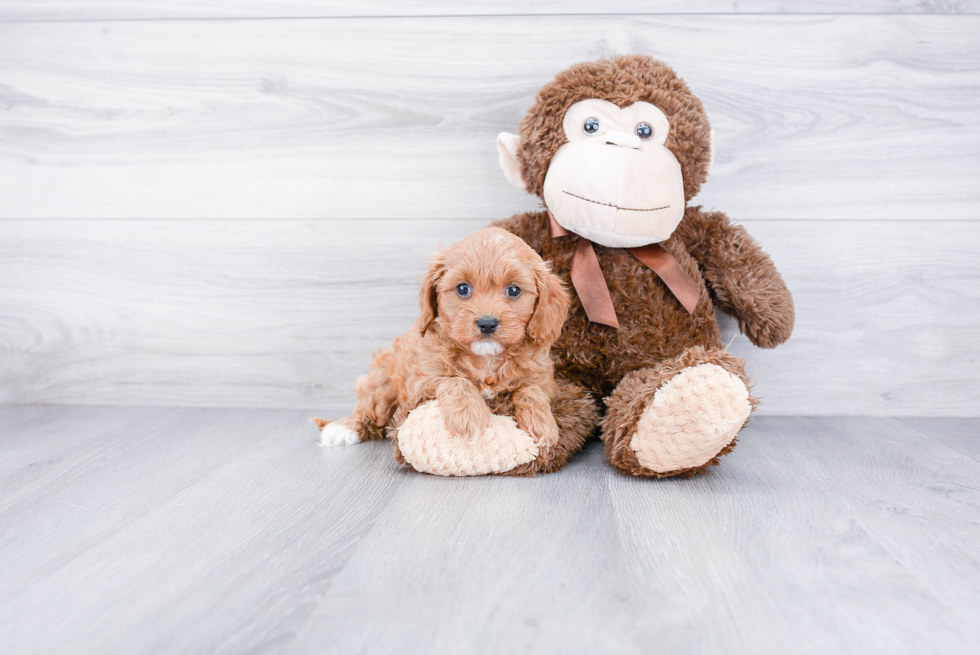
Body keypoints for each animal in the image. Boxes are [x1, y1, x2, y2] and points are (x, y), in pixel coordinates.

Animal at [318, 228, 572, 454]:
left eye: (514, 290)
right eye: (463, 288)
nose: (487, 323)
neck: (485, 358)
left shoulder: (542, 379)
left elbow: (531, 390)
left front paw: (542, 424)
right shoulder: (420, 383)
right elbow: (455, 380)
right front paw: (468, 416)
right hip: (384, 381)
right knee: (370, 408)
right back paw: (343, 428)